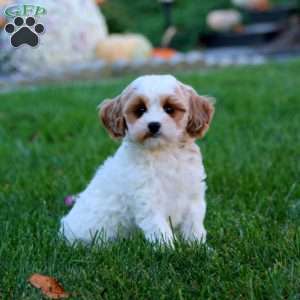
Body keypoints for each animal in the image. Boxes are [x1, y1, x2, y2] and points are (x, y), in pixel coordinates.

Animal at [59, 75, 214, 246]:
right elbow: (160, 230)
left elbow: (194, 226)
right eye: (140, 110)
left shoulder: (193, 197)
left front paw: (199, 247)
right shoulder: (148, 200)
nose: (153, 125)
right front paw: (169, 249)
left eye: (169, 109)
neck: (164, 152)